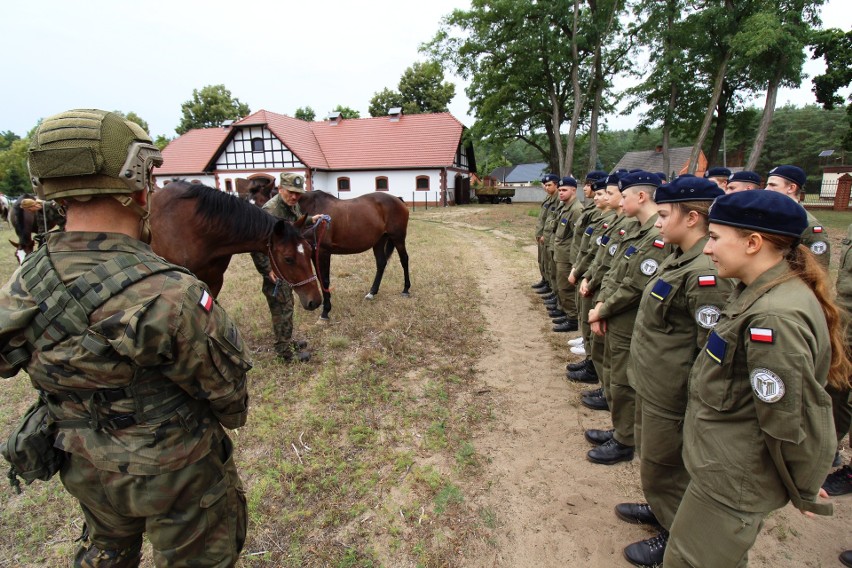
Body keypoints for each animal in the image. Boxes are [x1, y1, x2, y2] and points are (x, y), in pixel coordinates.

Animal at [296, 191, 410, 320]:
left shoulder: (323, 252)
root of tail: (397, 199)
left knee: (404, 260)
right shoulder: (313, 253)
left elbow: (325, 280)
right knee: (381, 264)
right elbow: (320, 279)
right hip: (379, 241)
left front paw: (325, 311)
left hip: (398, 238)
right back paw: (372, 292)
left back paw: (406, 289)